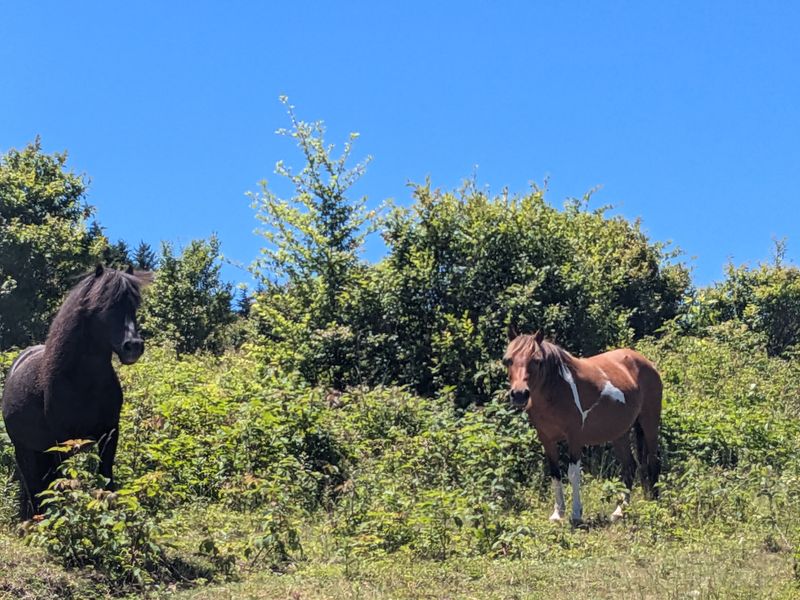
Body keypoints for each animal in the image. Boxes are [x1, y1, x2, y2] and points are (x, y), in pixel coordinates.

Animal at [1, 265, 148, 519]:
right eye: (105, 305)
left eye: (134, 305)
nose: (134, 346)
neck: (83, 383)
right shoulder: (64, 440)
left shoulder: (109, 433)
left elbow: (106, 477)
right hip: (25, 450)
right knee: (34, 487)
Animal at [503, 329, 662, 524]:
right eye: (508, 360)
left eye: (537, 360)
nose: (519, 394)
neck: (556, 391)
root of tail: (646, 362)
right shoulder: (546, 439)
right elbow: (555, 473)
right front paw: (558, 513)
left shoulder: (574, 438)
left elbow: (573, 474)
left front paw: (576, 514)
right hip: (620, 433)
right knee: (629, 467)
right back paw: (619, 511)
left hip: (650, 422)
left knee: (653, 461)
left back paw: (653, 504)